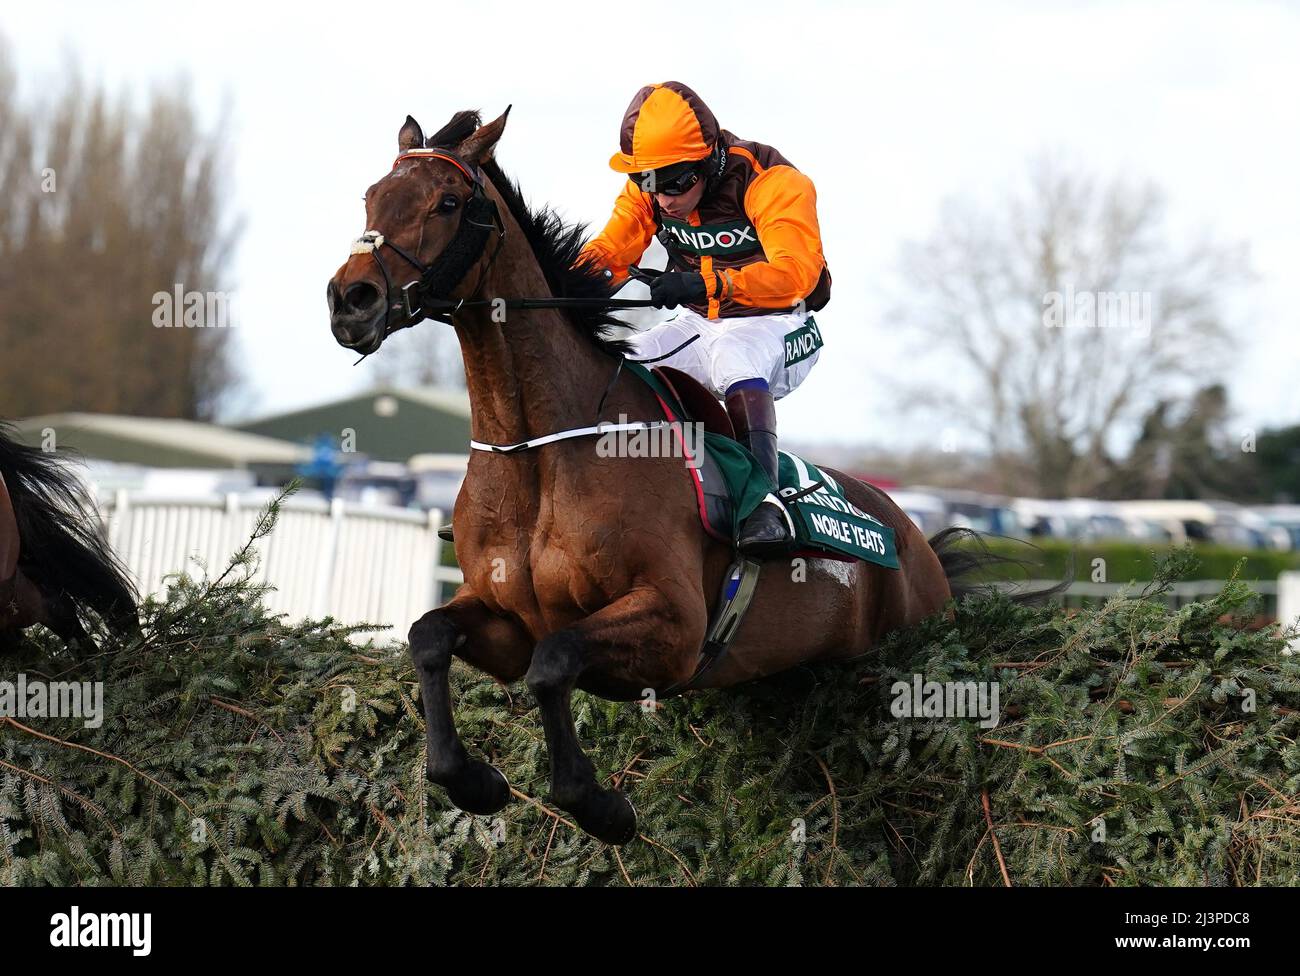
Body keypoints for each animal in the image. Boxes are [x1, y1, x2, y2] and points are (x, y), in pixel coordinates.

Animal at [327, 105, 1034, 842]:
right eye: (371, 196)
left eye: (447, 202)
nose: (351, 299)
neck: (538, 453)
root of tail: (915, 538)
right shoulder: (503, 617)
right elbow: (429, 636)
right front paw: (471, 778)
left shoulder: (673, 627)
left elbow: (553, 663)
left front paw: (598, 803)